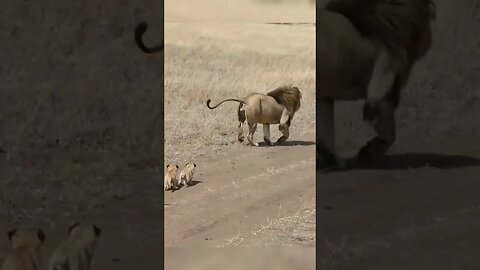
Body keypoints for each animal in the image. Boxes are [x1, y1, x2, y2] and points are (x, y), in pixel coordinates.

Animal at [316, 0, 436, 169]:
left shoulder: (324, 95)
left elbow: (324, 135)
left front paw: (333, 162)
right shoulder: (384, 83)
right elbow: (390, 134)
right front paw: (367, 152)